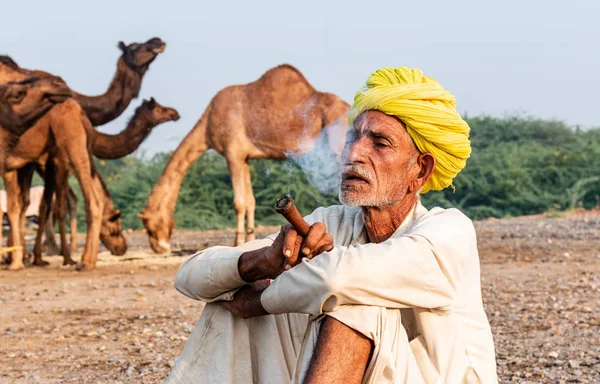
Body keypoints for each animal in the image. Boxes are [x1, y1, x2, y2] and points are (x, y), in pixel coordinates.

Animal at [141, 64, 350, 254]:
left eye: (149, 225)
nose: (159, 247)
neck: (207, 125)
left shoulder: (233, 153)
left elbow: (238, 203)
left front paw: (237, 242)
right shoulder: (245, 158)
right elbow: (250, 200)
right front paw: (249, 239)